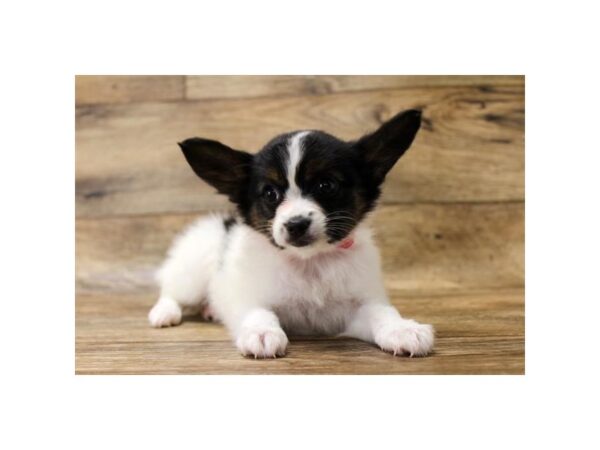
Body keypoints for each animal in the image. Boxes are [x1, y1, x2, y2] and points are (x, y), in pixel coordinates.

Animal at [148, 109, 434, 358]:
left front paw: (402, 329)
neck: (309, 262)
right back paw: (164, 312)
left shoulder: (356, 308)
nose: (296, 224)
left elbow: (382, 313)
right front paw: (261, 332)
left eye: (326, 186)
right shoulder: (248, 296)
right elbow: (259, 312)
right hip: (193, 270)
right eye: (270, 193)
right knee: (172, 290)